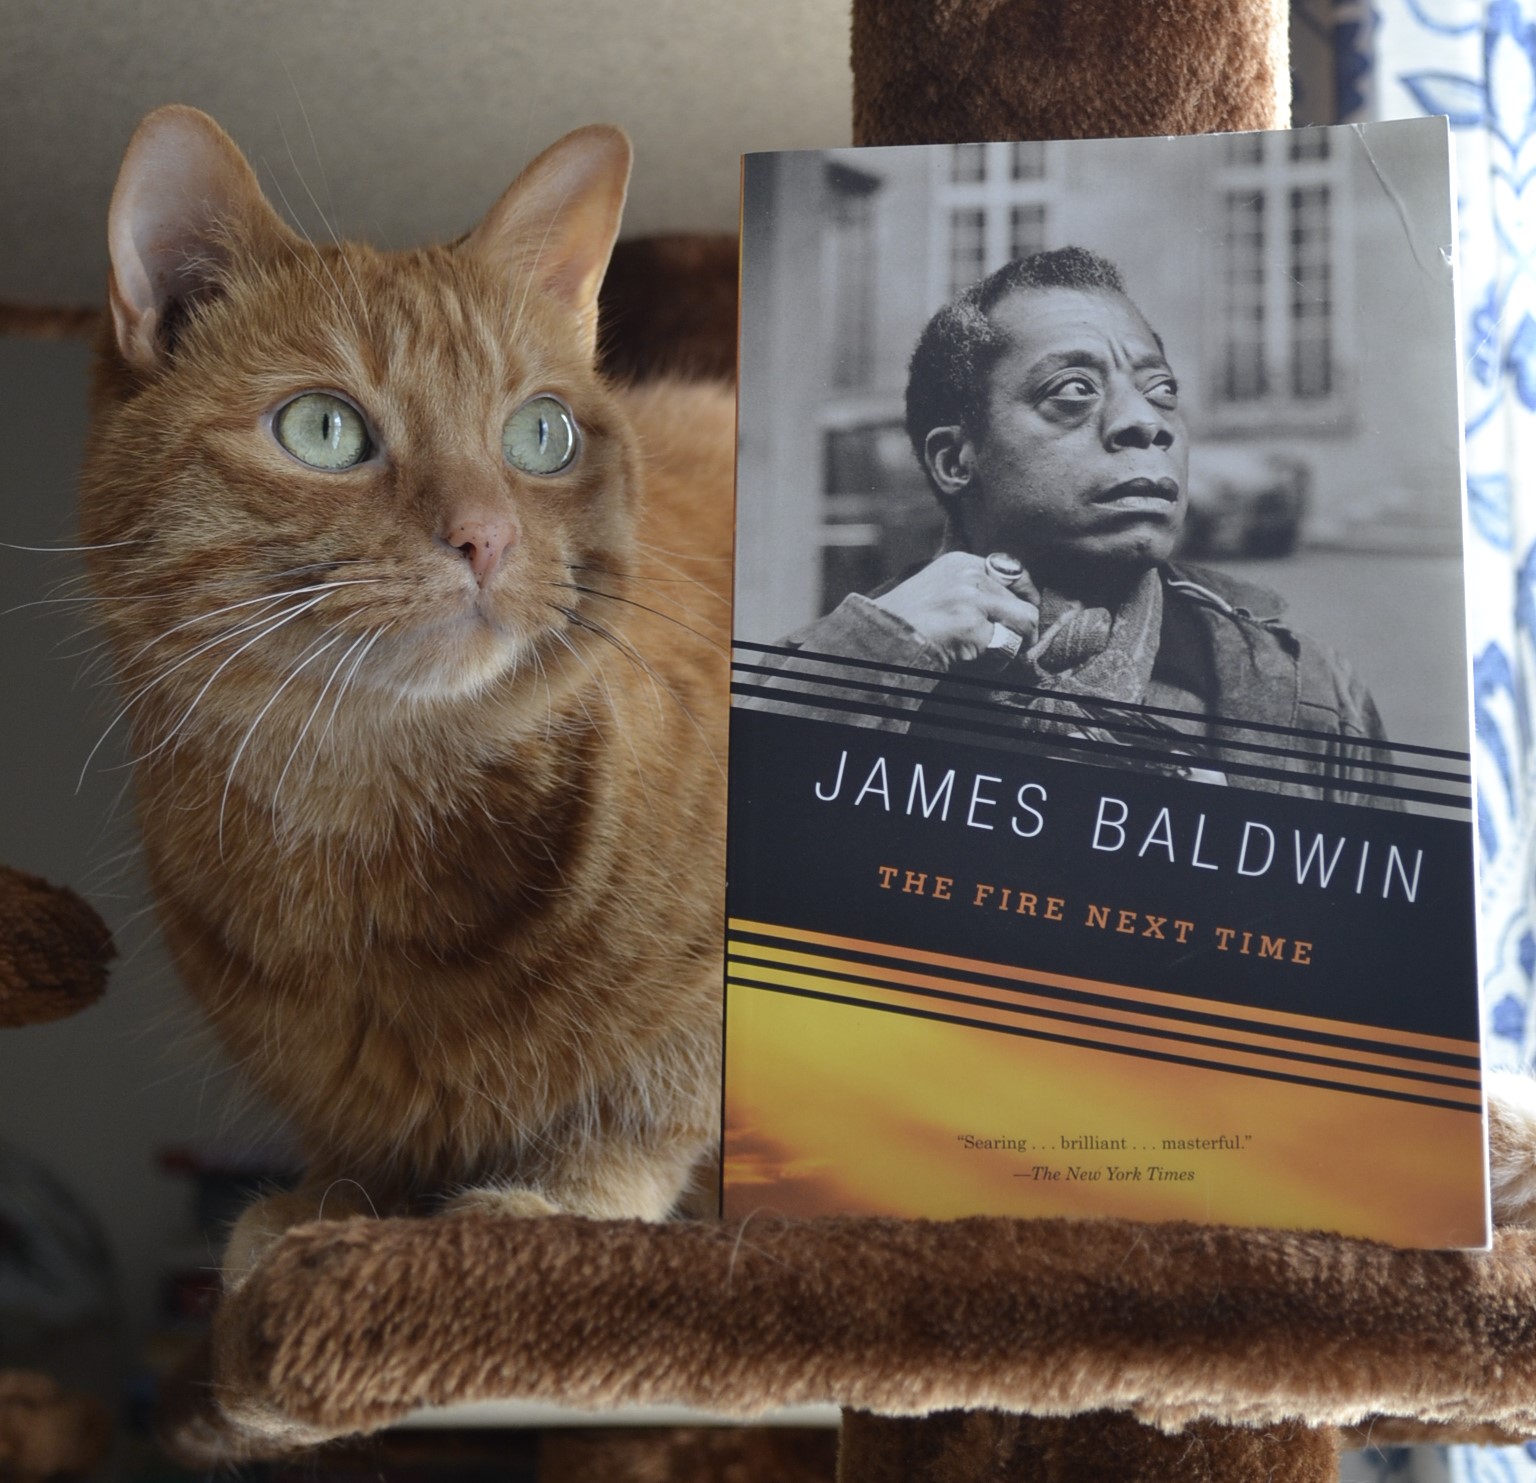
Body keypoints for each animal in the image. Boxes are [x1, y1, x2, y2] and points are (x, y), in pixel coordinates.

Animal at [79, 109, 737, 1278]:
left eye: (542, 434)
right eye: (323, 429)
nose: (488, 536)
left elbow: (649, 1100)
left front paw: (560, 1200)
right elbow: (362, 1141)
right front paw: (334, 1207)